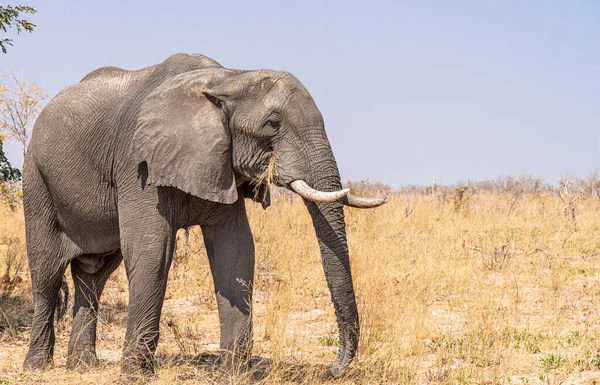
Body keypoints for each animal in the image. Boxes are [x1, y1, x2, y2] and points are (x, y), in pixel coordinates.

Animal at [21, 52, 386, 376]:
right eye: (273, 124)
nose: (333, 368)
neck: (229, 78)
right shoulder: (137, 163)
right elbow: (152, 249)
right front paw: (137, 375)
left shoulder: (222, 162)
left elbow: (236, 249)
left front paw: (233, 373)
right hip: (36, 179)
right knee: (47, 272)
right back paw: (38, 366)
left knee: (94, 275)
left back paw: (83, 367)